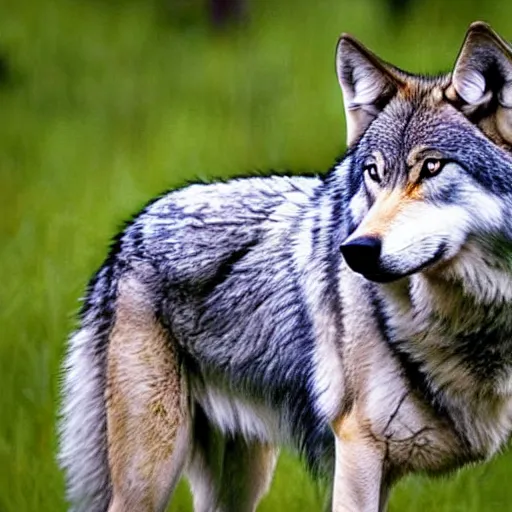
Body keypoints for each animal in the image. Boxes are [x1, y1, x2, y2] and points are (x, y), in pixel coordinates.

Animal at [60, 22, 512, 512]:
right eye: (373, 173)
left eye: (431, 167)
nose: (355, 250)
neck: (472, 328)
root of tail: (128, 234)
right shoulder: (357, 452)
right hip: (150, 476)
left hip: (240, 483)